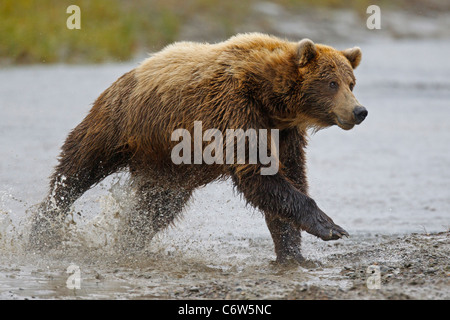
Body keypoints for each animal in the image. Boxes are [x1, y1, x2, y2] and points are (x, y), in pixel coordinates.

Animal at [28, 32, 368, 264]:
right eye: (331, 83)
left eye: (351, 82)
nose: (359, 111)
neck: (270, 97)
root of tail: (128, 73)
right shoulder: (235, 108)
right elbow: (257, 174)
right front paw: (330, 226)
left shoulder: (285, 132)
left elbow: (290, 176)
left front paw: (292, 253)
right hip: (120, 121)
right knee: (77, 168)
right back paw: (43, 228)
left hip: (168, 167)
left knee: (156, 208)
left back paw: (128, 241)